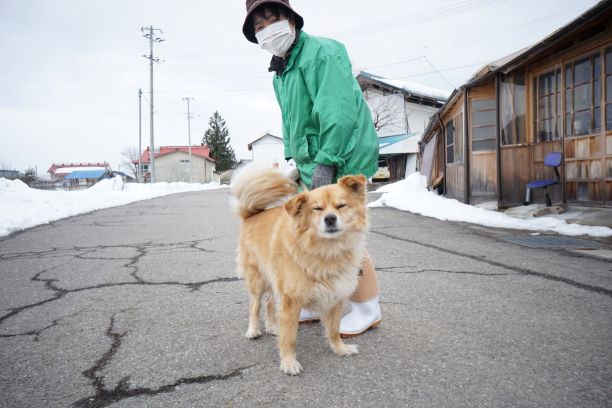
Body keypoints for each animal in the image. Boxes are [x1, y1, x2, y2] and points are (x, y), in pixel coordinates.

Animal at [231, 167, 368, 376]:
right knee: (255, 305)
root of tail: (252, 214)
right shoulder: (291, 301)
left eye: (341, 205)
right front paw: (288, 362)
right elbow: (289, 338)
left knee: (269, 303)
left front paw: (339, 348)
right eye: (317, 209)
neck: (327, 252)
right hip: (258, 280)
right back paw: (253, 330)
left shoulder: (336, 297)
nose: (330, 219)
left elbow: (334, 329)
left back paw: (272, 326)